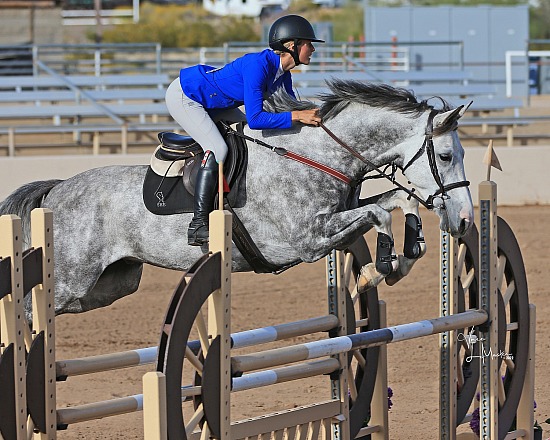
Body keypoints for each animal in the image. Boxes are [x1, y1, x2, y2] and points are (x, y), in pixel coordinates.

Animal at [0, 80, 474, 320]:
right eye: (446, 156)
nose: (466, 220)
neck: (317, 154)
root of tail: (57, 190)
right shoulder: (307, 240)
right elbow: (379, 211)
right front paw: (377, 271)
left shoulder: (336, 219)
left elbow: (396, 201)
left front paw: (404, 256)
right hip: (70, 280)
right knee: (28, 311)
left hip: (108, 285)